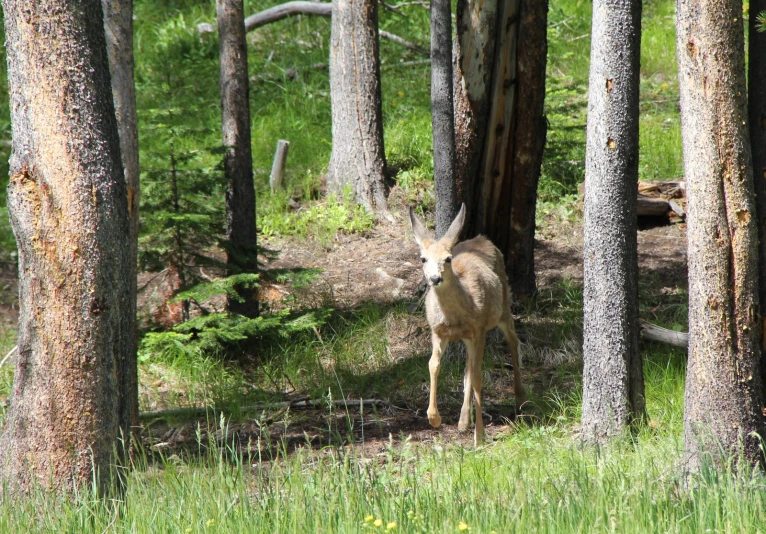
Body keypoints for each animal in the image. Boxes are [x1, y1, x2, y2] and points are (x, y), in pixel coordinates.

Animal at [408, 205, 528, 448]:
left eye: (447, 258)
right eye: (423, 258)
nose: (434, 279)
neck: (454, 316)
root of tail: (483, 239)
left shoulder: (479, 329)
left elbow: (478, 377)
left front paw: (479, 436)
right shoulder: (438, 332)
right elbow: (433, 365)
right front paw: (434, 418)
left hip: (503, 308)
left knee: (513, 342)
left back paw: (520, 398)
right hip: (468, 336)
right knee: (469, 367)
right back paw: (463, 421)